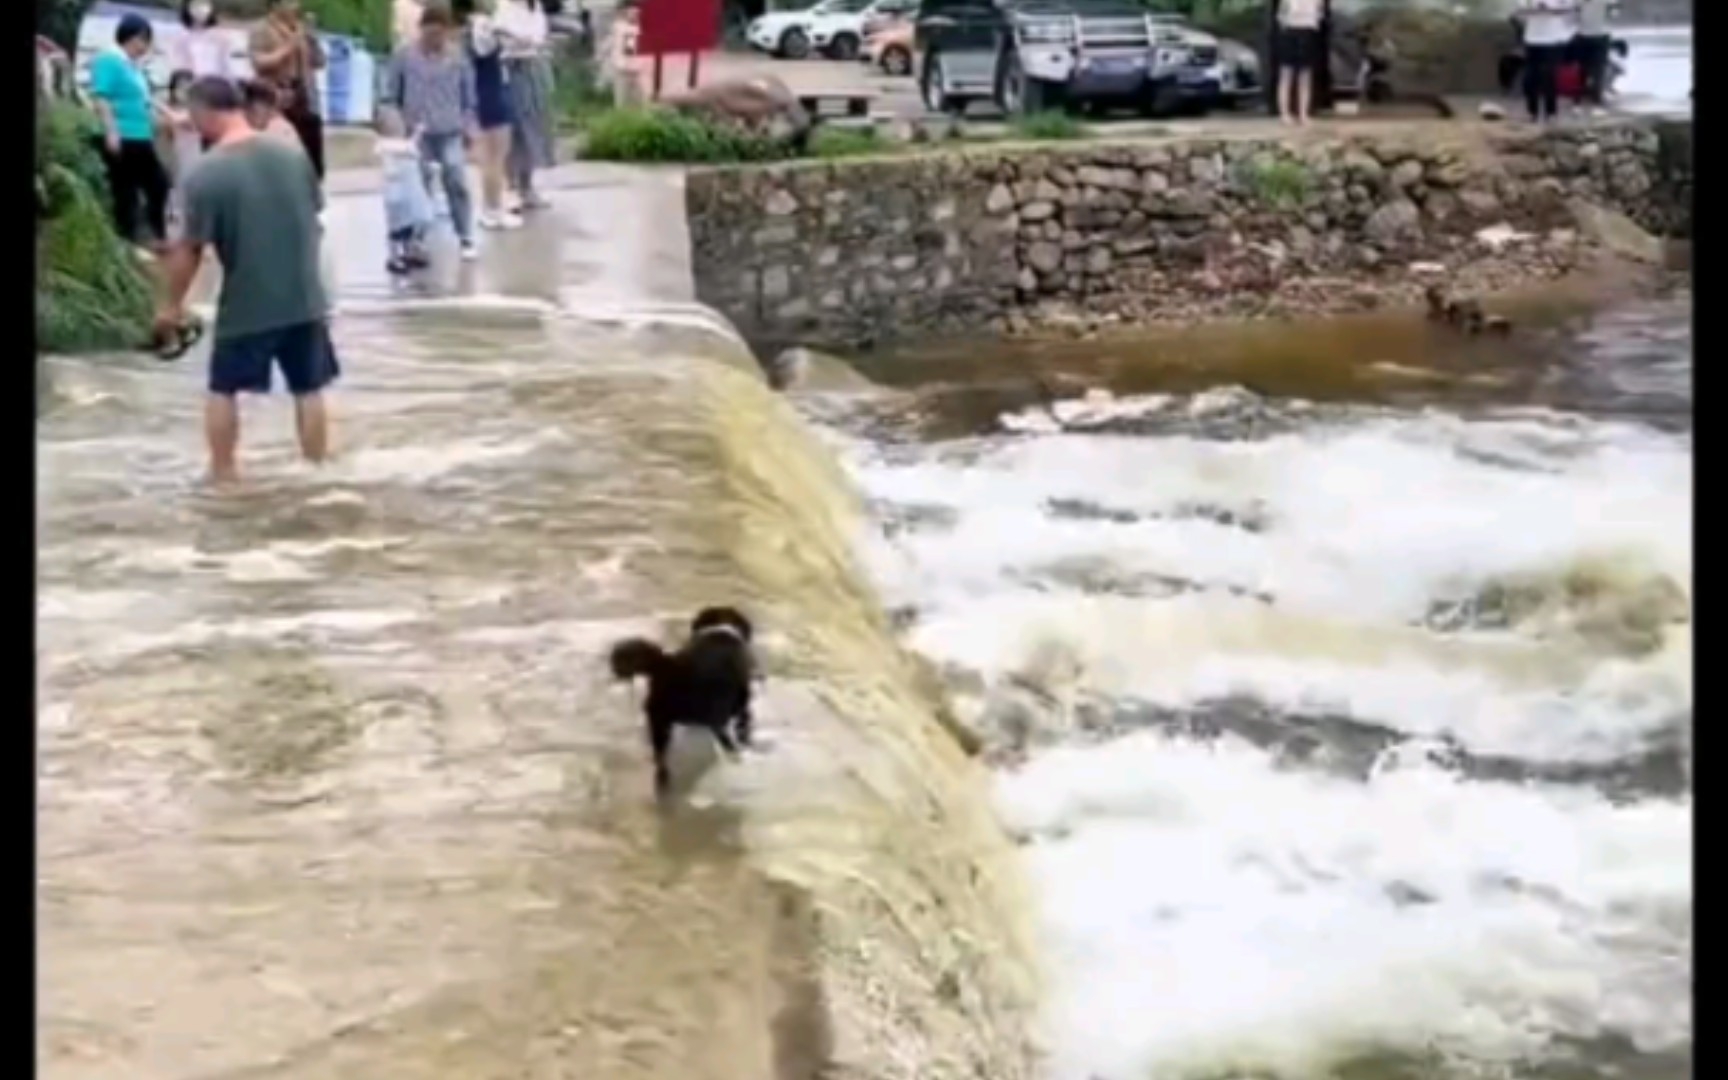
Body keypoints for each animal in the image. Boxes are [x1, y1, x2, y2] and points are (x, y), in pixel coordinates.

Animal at [615, 608, 763, 791]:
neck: (720, 629)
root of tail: (666, 666)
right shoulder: (740, 702)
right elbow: (744, 720)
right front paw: (745, 738)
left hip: (659, 720)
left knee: (660, 757)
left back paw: (662, 780)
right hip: (717, 710)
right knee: (725, 737)